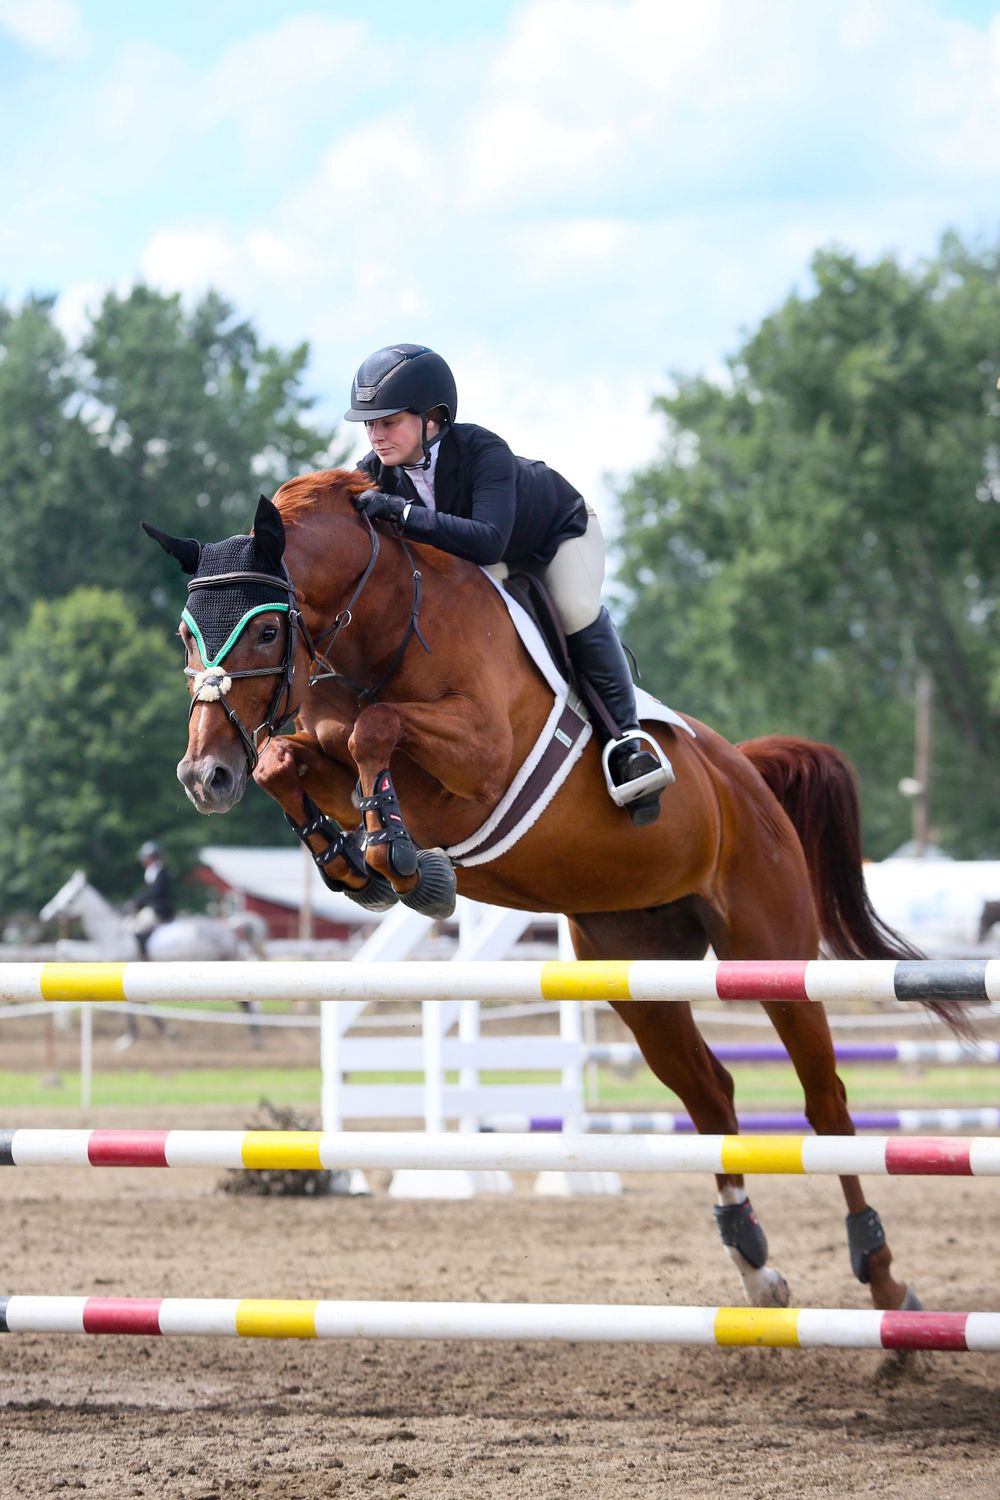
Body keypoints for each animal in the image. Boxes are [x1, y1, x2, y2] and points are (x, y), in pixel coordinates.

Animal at [144, 468, 970, 1314]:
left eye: (265, 633)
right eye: (186, 634)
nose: (203, 776)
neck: (376, 618)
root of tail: (746, 770)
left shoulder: (475, 760)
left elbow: (373, 730)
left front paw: (401, 860)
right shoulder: (327, 747)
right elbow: (288, 757)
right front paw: (353, 863)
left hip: (772, 953)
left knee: (825, 1102)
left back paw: (883, 1275)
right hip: (634, 971)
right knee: (711, 1095)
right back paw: (755, 1266)